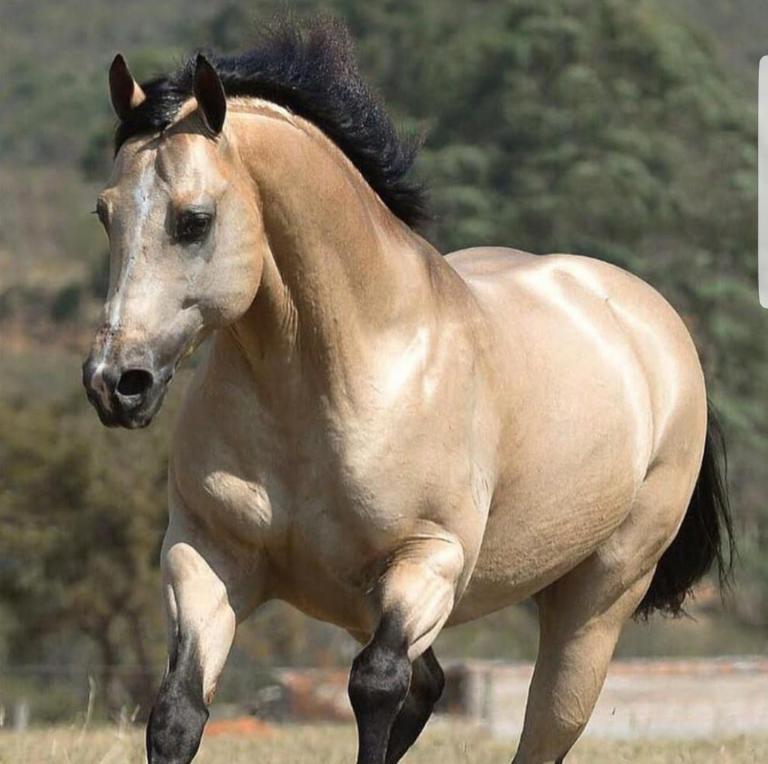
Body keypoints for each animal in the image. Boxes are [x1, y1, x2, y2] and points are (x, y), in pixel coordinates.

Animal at [82, 19, 733, 764]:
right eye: (104, 214)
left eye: (193, 220)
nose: (115, 383)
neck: (335, 379)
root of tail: (657, 327)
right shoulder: (205, 557)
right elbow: (177, 713)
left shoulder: (428, 562)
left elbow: (374, 687)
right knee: (431, 686)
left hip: (596, 601)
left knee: (544, 721)